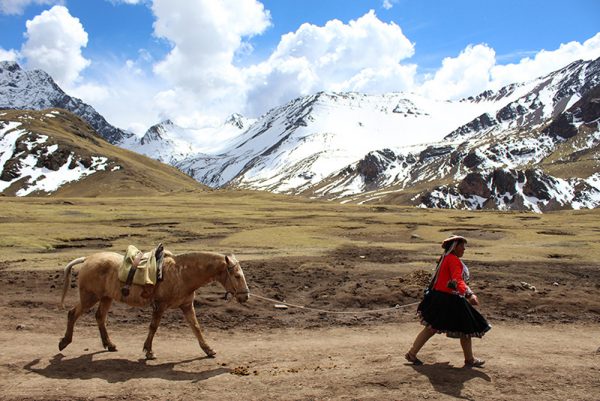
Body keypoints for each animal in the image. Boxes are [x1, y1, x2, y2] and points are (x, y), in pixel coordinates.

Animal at [58, 250, 248, 360]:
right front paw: (149, 352)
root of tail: (88, 258)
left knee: (100, 317)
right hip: (89, 298)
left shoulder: (187, 306)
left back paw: (110, 345)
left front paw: (208, 350)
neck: (182, 274)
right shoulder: (160, 305)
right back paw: (64, 342)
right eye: (237, 276)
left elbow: (196, 327)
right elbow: (153, 327)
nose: (245, 296)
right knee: (72, 313)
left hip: (106, 298)